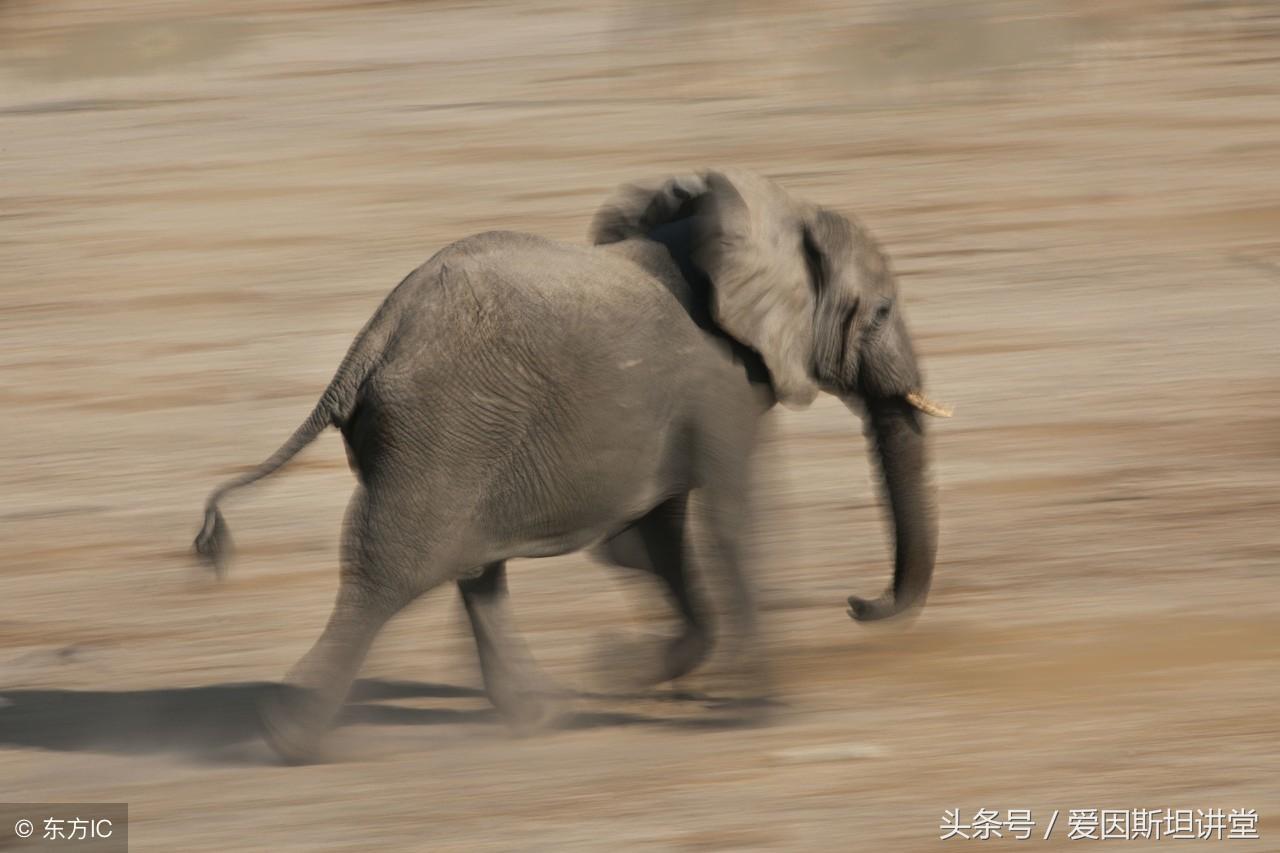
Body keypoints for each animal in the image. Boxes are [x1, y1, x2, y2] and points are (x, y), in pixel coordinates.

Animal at [192, 166, 952, 758]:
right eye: (884, 310)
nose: (855, 602)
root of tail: (368, 343)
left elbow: (655, 537)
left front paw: (629, 671)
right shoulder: (722, 385)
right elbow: (732, 525)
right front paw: (765, 713)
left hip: (459, 436)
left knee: (473, 569)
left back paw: (538, 717)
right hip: (443, 430)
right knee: (392, 572)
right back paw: (289, 735)